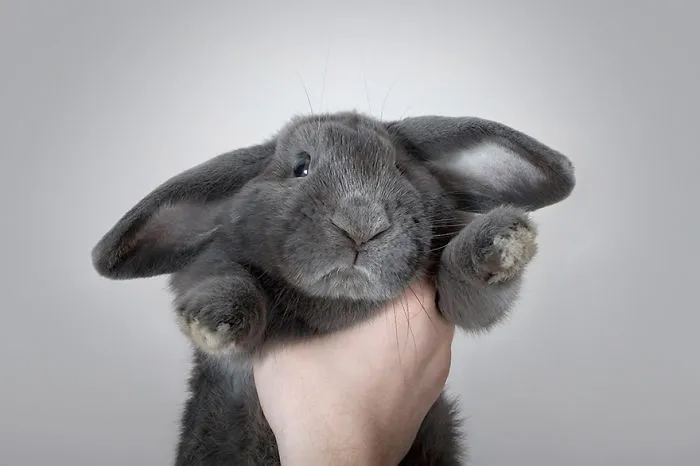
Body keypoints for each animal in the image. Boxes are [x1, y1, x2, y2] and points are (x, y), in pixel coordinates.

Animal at [91, 111, 575, 465]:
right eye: (301, 166)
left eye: (401, 168)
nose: (361, 224)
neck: (338, 304)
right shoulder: (209, 273)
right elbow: (226, 280)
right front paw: (214, 320)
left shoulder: (454, 303)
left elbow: (470, 290)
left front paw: (502, 242)